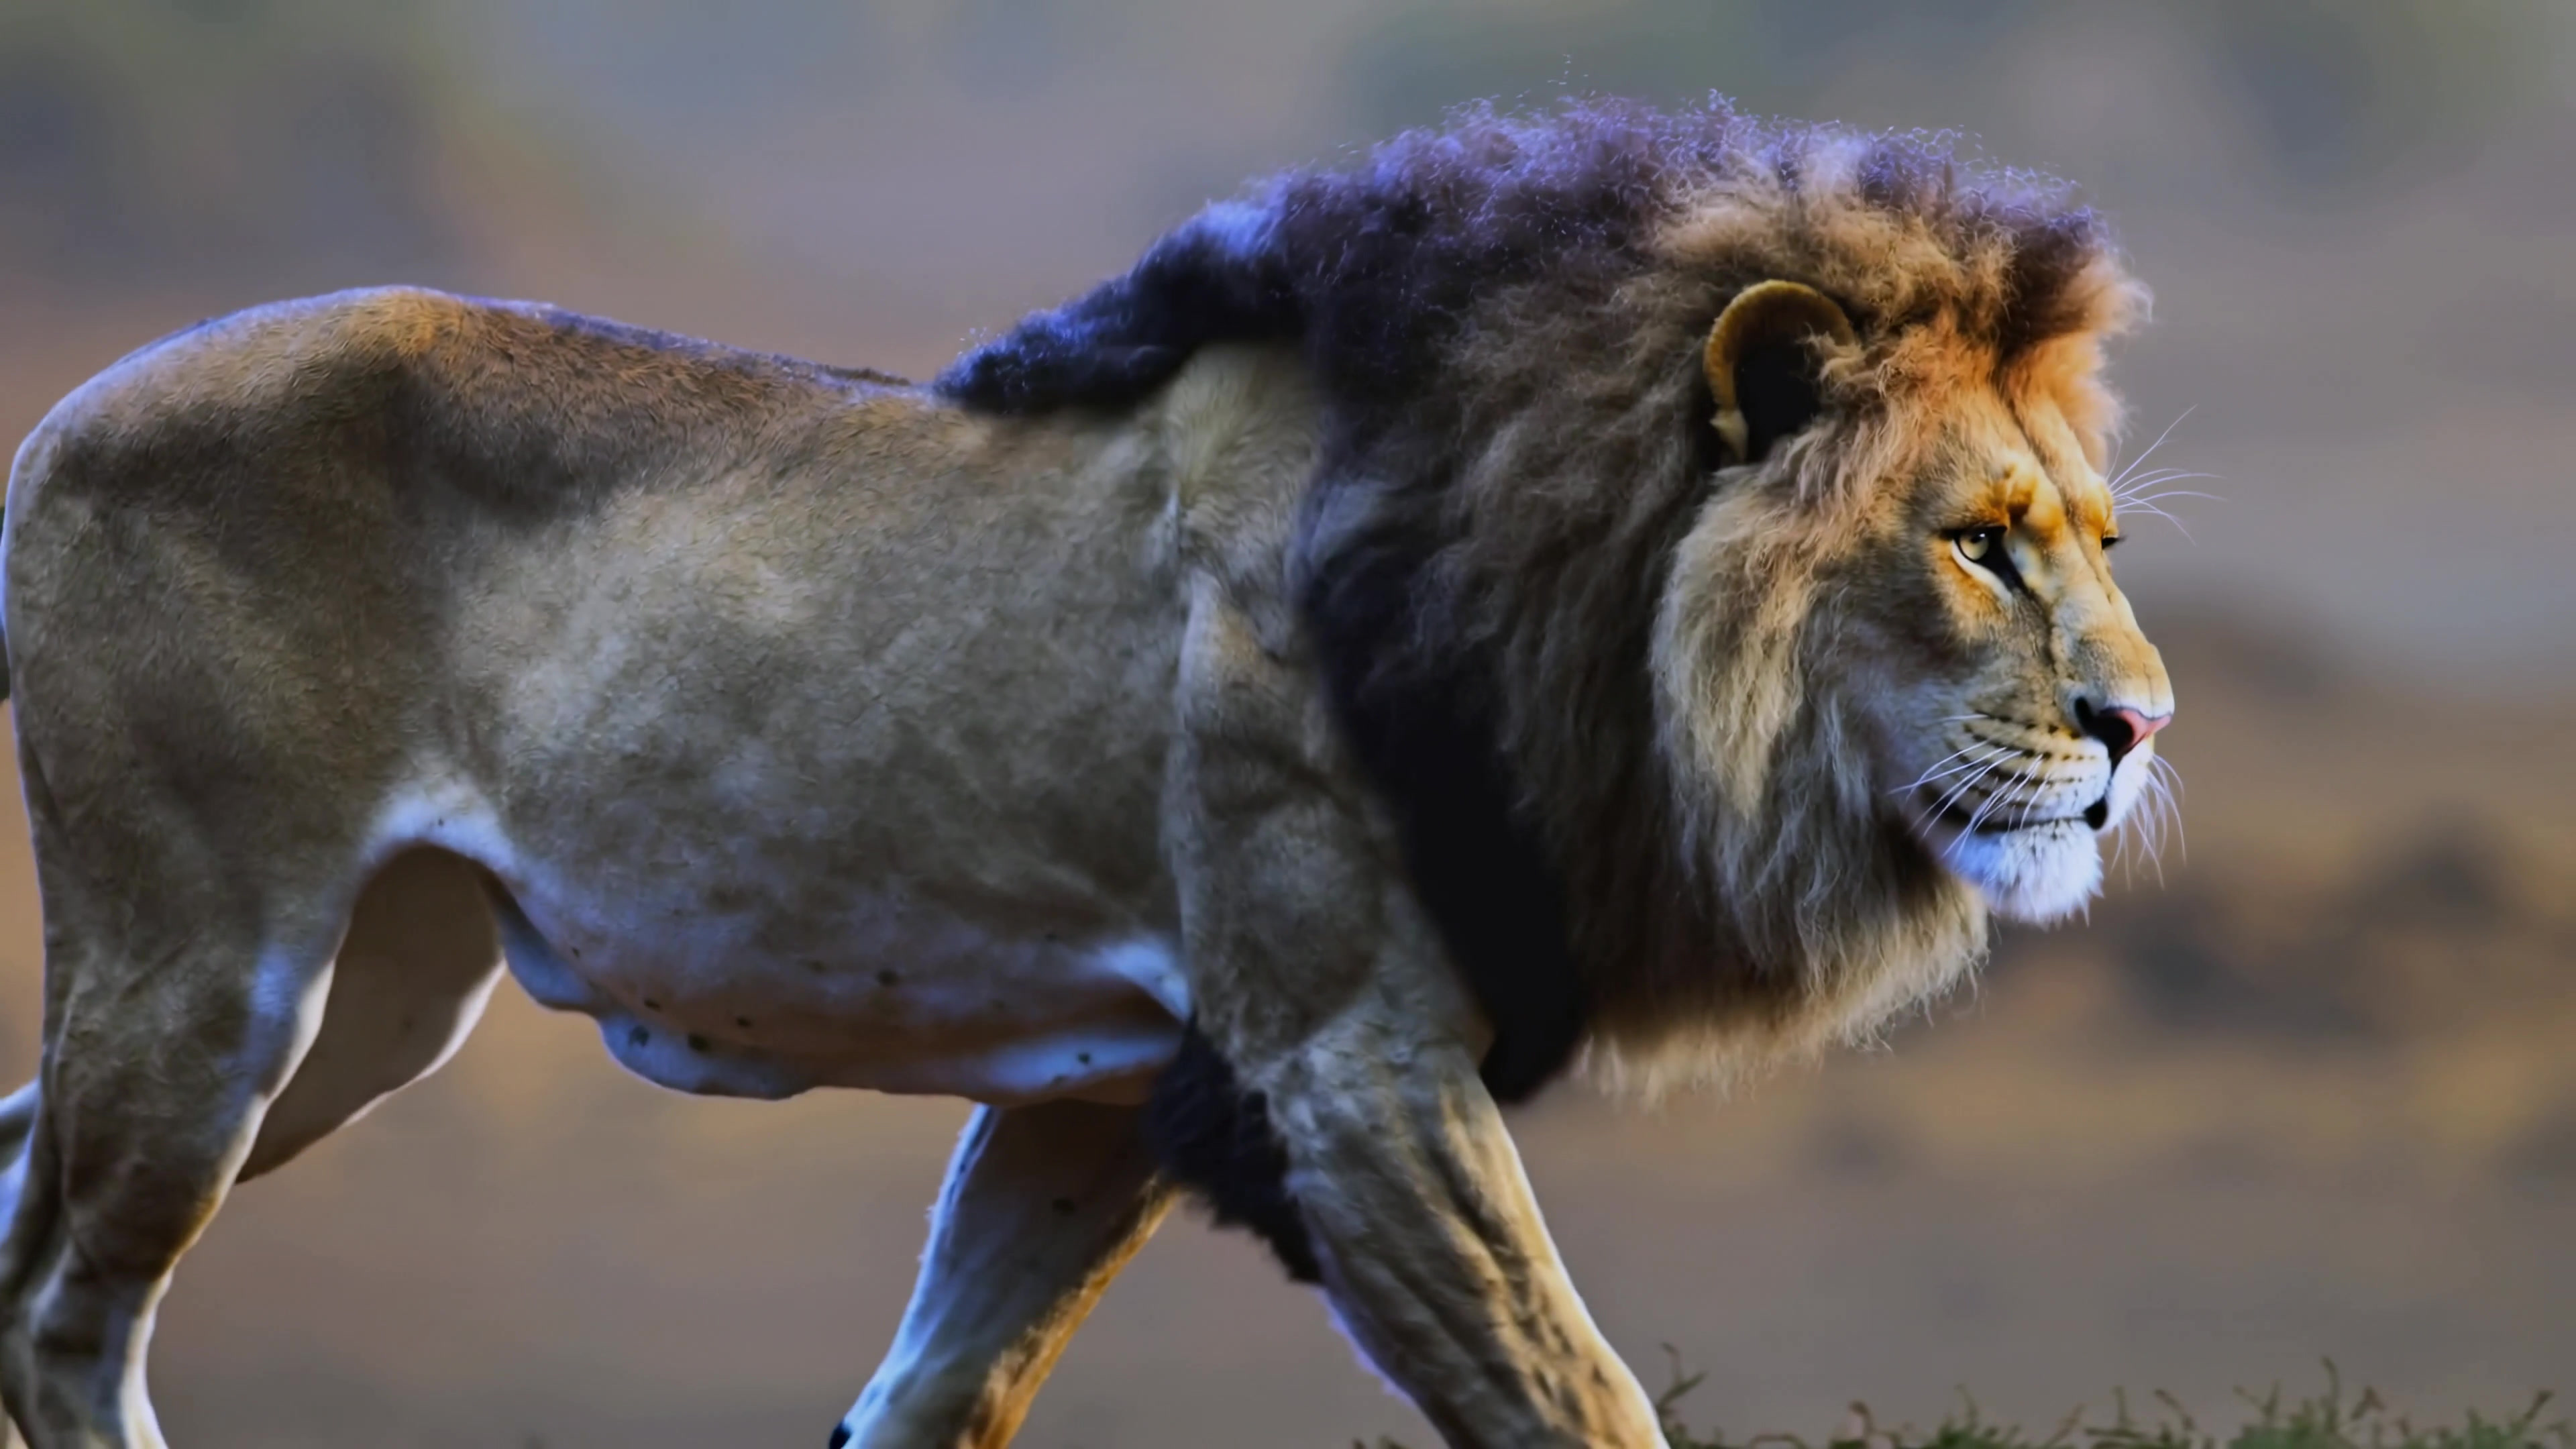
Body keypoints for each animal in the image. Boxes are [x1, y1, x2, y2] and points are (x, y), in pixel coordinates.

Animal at [0, 98, 2171, 1448]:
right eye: (1975, 545)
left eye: (2094, 540)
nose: (2138, 728)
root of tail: (67, 409)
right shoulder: (1345, 1061)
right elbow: (1577, 1397)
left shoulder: (1122, 1087)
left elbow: (936, 1393)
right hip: (210, 969)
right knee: (61, 1313)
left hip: (376, 995)